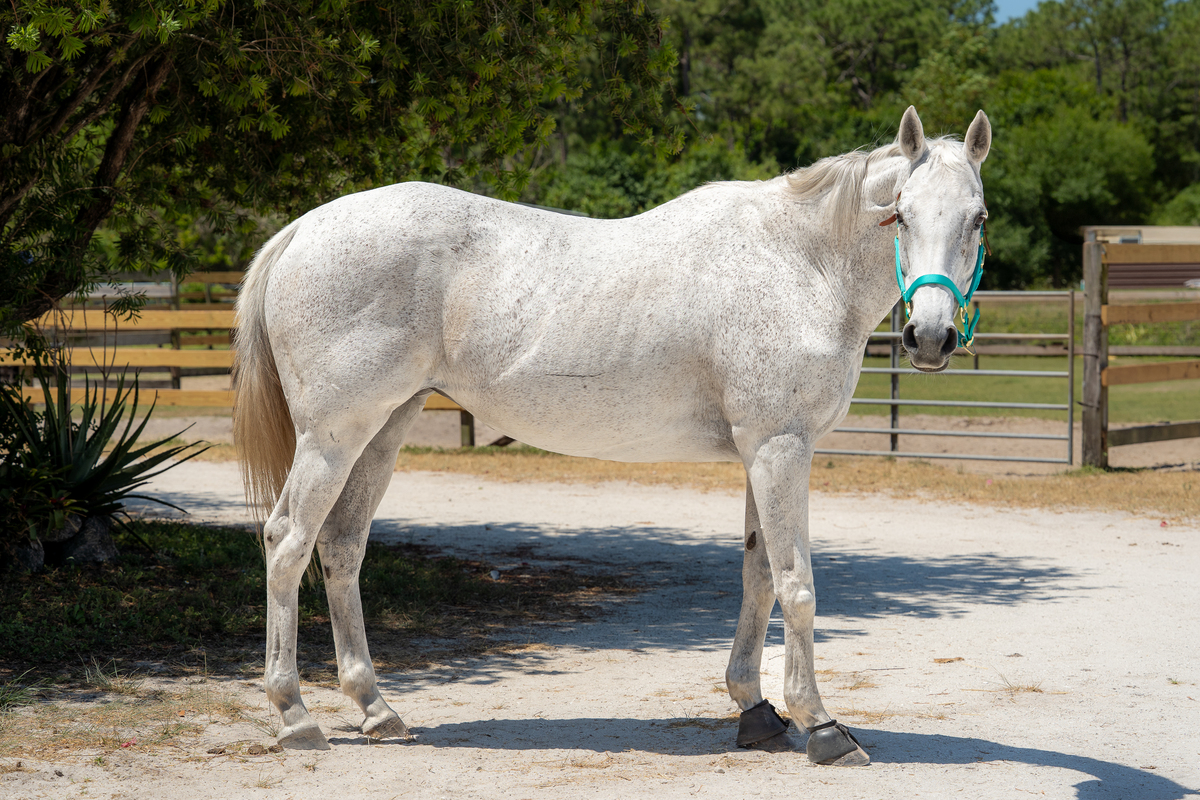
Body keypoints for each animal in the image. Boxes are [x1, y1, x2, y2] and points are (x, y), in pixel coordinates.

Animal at [233, 106, 991, 765]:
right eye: (901, 214)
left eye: (978, 218)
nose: (929, 337)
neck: (799, 263)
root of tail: (304, 229)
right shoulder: (781, 447)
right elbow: (797, 584)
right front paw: (823, 726)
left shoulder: (760, 451)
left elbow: (757, 577)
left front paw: (755, 710)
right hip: (333, 437)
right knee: (288, 543)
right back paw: (295, 715)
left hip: (383, 432)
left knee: (341, 547)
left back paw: (376, 709)